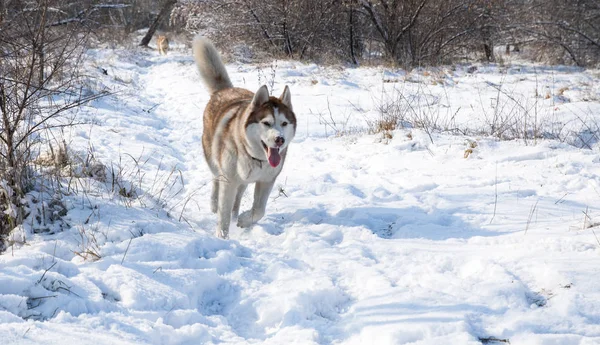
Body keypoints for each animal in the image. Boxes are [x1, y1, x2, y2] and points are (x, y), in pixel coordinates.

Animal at [192, 36, 296, 238]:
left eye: (284, 123)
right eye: (267, 123)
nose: (279, 140)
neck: (256, 158)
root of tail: (225, 91)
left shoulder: (266, 180)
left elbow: (259, 210)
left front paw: (243, 221)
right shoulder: (229, 180)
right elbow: (223, 213)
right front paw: (222, 237)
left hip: (244, 181)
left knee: (238, 196)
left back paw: (236, 215)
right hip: (214, 160)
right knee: (216, 179)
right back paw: (214, 204)